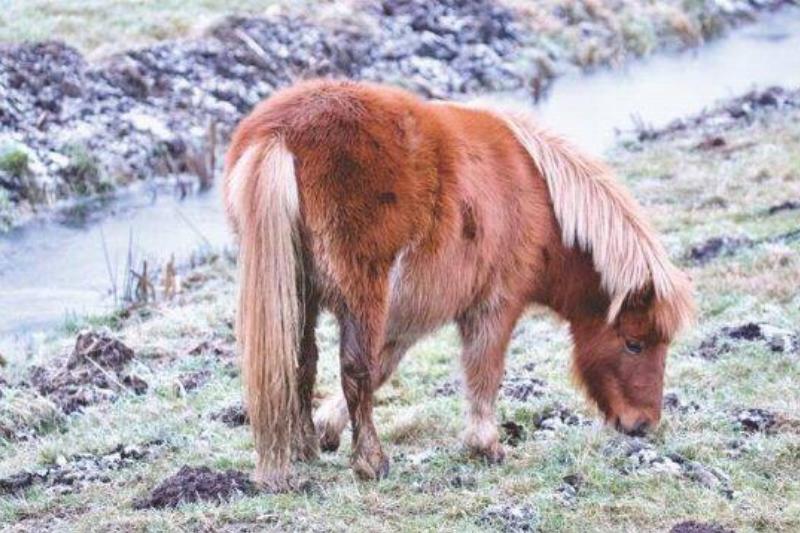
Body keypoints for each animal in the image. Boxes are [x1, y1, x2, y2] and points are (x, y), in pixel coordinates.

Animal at [222, 79, 695, 488]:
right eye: (634, 343)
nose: (643, 424)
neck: (541, 201)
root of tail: (282, 134)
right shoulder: (494, 305)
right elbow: (482, 369)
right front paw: (485, 445)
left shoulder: (408, 314)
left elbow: (383, 366)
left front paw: (326, 429)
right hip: (361, 295)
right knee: (352, 369)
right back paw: (371, 462)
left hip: (299, 295)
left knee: (301, 364)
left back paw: (304, 448)